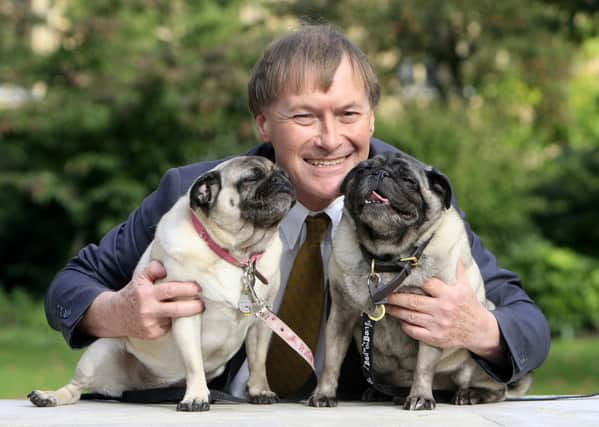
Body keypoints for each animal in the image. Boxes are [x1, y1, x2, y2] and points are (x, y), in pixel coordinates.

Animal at [29, 156, 296, 412]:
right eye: (251, 178)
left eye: (282, 172)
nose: (282, 179)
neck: (236, 254)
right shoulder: (187, 312)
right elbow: (194, 362)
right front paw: (196, 396)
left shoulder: (261, 321)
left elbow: (257, 361)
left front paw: (260, 391)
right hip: (101, 352)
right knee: (75, 388)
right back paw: (49, 396)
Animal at [310, 153, 528, 412]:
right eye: (363, 170)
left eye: (408, 180)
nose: (380, 173)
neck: (388, 259)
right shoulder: (341, 316)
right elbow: (331, 361)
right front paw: (324, 393)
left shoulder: (431, 322)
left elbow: (423, 367)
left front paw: (420, 397)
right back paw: (382, 393)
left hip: (473, 363)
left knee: (497, 390)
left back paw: (471, 394)